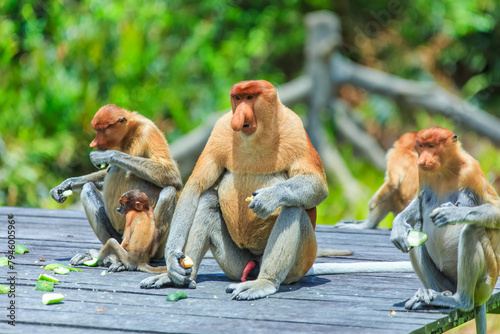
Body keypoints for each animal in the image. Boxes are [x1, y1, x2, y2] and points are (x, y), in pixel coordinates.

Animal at [49, 104, 183, 268]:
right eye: (96, 130)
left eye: (101, 130)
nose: (93, 144)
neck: (130, 133)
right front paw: (66, 184)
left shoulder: (148, 131)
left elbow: (172, 175)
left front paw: (108, 155)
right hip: (119, 237)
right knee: (88, 189)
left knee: (168, 191)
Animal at [141, 80, 342, 300]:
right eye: (237, 98)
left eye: (250, 98)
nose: (239, 116)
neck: (256, 136)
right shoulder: (220, 129)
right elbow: (196, 186)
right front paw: (172, 260)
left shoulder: (295, 128)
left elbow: (318, 185)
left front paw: (269, 197)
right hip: (237, 265)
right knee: (207, 201)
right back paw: (181, 276)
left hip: (302, 261)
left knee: (292, 207)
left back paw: (264, 283)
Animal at [390, 126, 500, 334]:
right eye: (421, 146)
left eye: (432, 146)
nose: (422, 160)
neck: (444, 169)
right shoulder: (422, 174)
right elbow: (419, 201)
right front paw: (398, 227)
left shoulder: (472, 170)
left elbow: (496, 210)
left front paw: (452, 212)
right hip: (447, 281)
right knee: (416, 230)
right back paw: (430, 294)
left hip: (486, 282)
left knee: (471, 230)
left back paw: (458, 300)